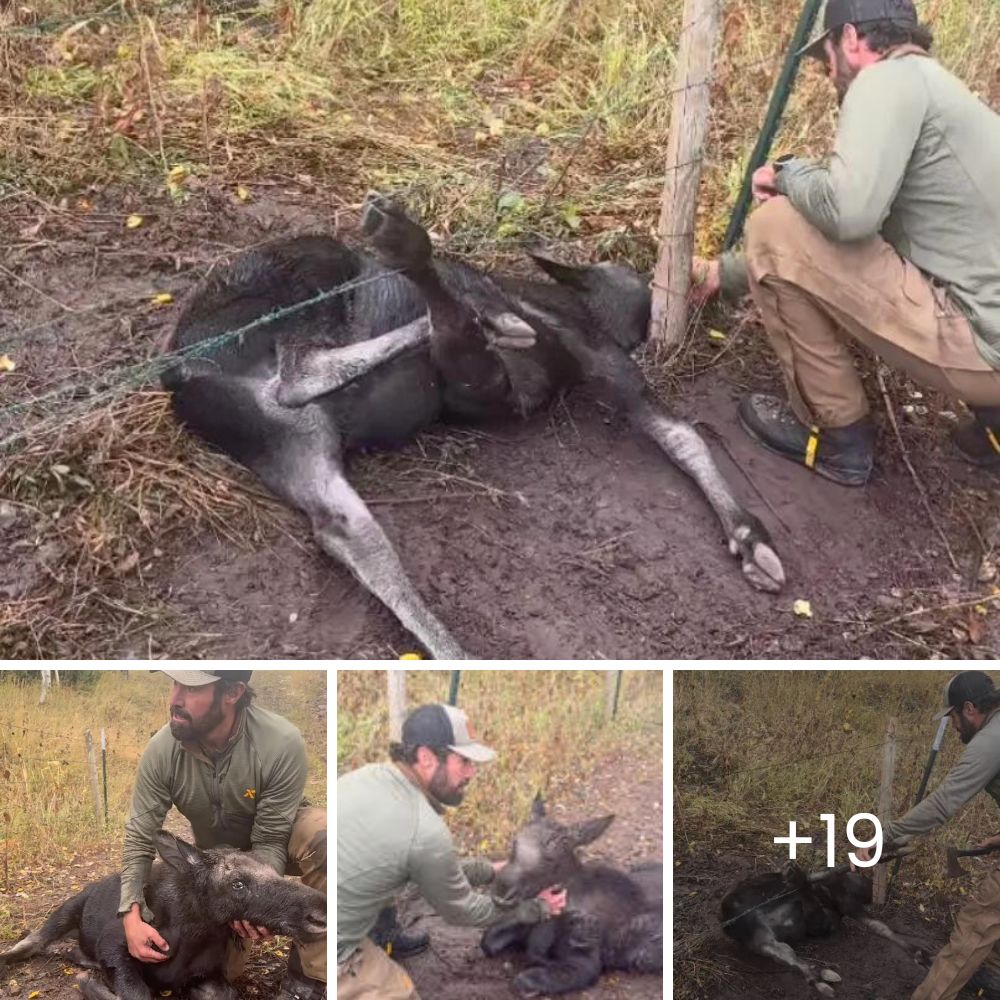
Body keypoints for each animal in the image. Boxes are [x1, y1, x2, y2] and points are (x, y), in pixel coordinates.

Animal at [0, 832, 324, 1000]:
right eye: (237, 883)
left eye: (275, 872)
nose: (320, 912)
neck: (193, 932)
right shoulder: (114, 943)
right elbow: (138, 995)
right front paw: (87, 984)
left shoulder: (209, 975)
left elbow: (227, 994)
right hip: (67, 909)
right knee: (32, 941)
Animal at [160, 192, 784, 660]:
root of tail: (178, 375)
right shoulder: (558, 359)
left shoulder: (537, 378)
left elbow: (683, 435)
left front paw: (750, 540)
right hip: (306, 283)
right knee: (304, 361)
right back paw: (423, 262)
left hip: (291, 447)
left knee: (348, 528)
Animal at [478, 792, 660, 996]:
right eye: (515, 842)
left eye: (552, 855)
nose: (502, 892)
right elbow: (487, 940)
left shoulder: (586, 964)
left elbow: (522, 980)